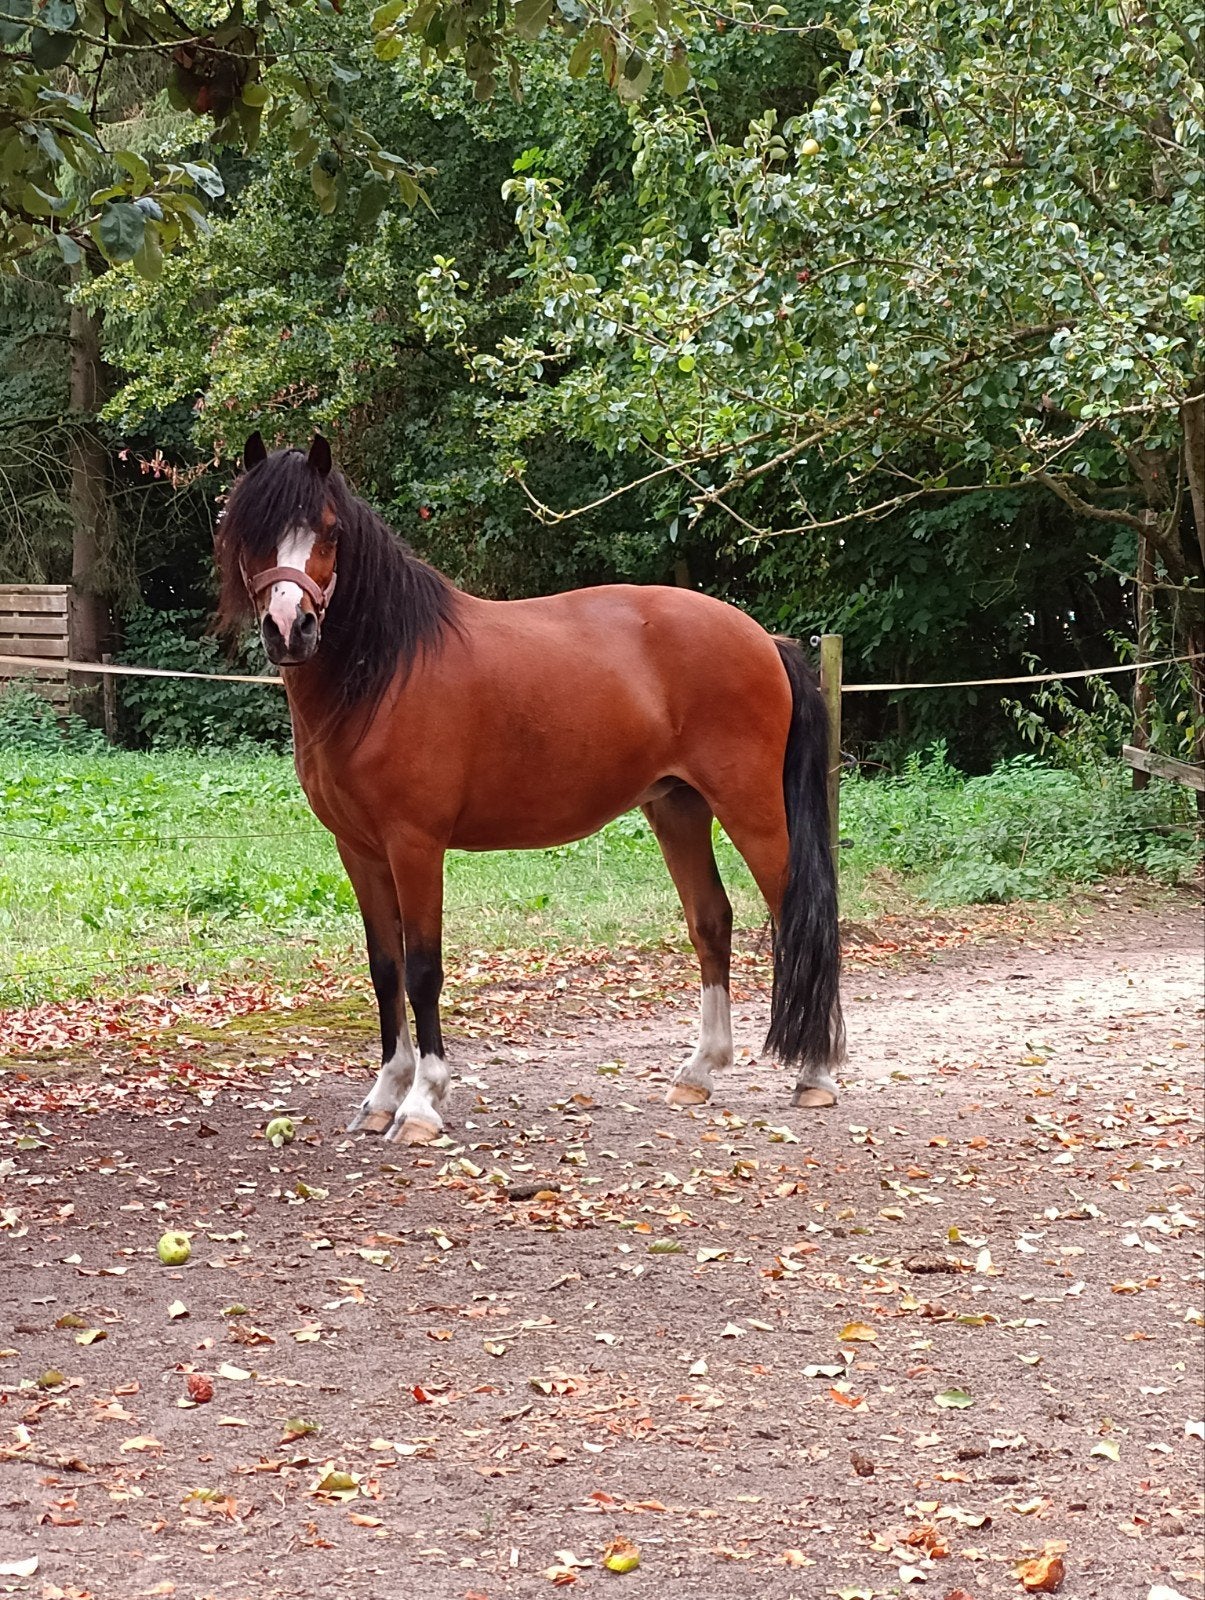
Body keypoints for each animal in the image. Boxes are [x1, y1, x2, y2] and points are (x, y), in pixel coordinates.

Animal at [215, 433, 844, 1144]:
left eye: (328, 531)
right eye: (253, 532)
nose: (289, 628)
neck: (386, 671)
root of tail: (763, 639)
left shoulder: (414, 845)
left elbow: (423, 968)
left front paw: (422, 1103)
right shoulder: (359, 849)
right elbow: (384, 968)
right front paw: (383, 1094)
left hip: (752, 808)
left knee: (801, 918)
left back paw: (817, 1074)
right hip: (678, 809)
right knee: (711, 921)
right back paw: (699, 1072)